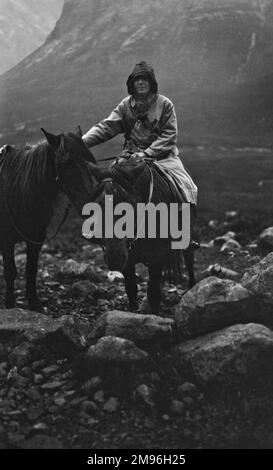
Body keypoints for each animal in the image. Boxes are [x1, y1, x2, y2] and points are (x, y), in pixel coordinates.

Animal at [0, 126, 104, 310]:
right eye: (65, 163)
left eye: (90, 160)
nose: (91, 206)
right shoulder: (6, 240)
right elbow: (10, 271)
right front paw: (10, 304)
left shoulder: (35, 239)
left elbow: (31, 269)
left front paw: (34, 303)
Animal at [92, 156, 196, 314]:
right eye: (97, 206)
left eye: (131, 205)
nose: (114, 258)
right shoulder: (128, 260)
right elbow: (131, 289)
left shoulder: (157, 257)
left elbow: (153, 292)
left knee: (189, 256)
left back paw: (191, 287)